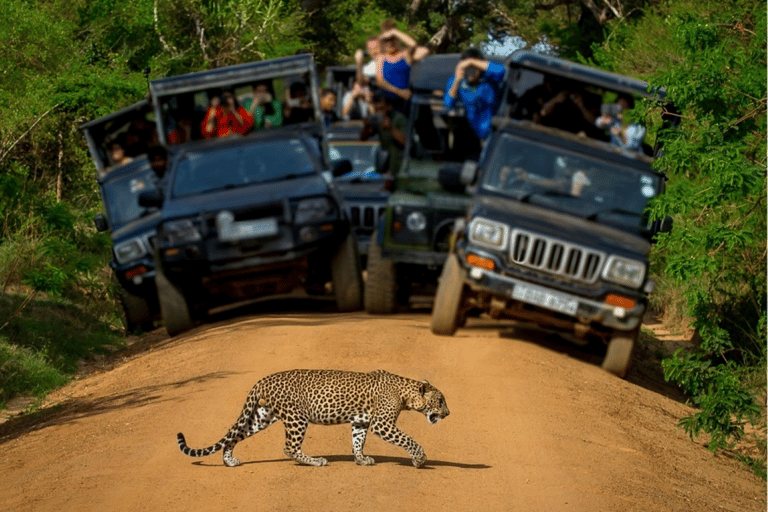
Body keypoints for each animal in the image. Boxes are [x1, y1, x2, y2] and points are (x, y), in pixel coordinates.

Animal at [176, 369, 450, 468]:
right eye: (440, 401)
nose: (448, 413)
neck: (406, 394)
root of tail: (263, 379)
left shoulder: (361, 421)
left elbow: (357, 441)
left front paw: (361, 459)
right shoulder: (382, 424)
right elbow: (408, 440)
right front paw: (420, 459)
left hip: (263, 416)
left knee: (235, 435)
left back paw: (229, 460)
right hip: (296, 418)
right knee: (289, 447)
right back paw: (315, 461)